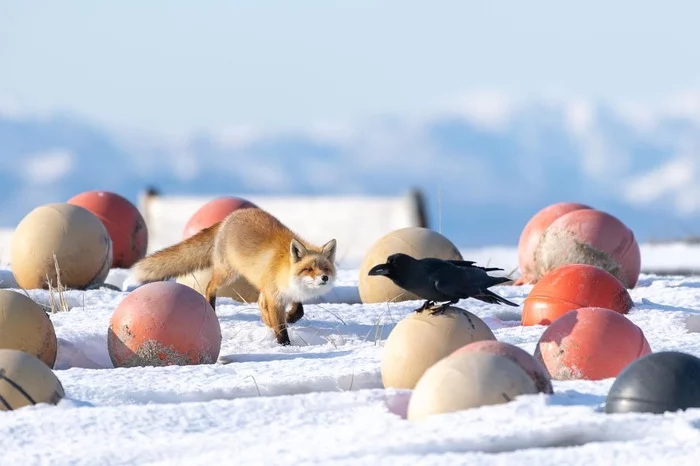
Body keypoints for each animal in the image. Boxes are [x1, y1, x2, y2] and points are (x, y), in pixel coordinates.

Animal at [133, 208, 340, 346]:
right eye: (309, 269)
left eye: (325, 268)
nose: (324, 278)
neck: (285, 268)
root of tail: (228, 218)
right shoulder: (274, 296)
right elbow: (280, 327)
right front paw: (284, 345)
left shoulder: (285, 293)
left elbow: (298, 311)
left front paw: (287, 318)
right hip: (227, 273)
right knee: (210, 287)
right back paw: (211, 307)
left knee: (258, 301)